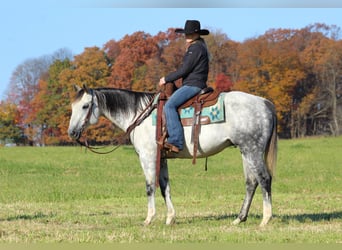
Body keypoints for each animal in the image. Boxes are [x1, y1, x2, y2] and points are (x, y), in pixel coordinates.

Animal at [68, 84, 276, 227]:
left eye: (85, 106)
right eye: (72, 106)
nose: (71, 132)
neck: (138, 114)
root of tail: (264, 103)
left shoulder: (148, 157)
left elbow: (150, 187)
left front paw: (149, 219)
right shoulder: (162, 159)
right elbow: (164, 188)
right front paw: (170, 218)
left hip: (252, 149)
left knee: (264, 179)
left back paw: (266, 219)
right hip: (245, 151)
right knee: (251, 183)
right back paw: (239, 219)